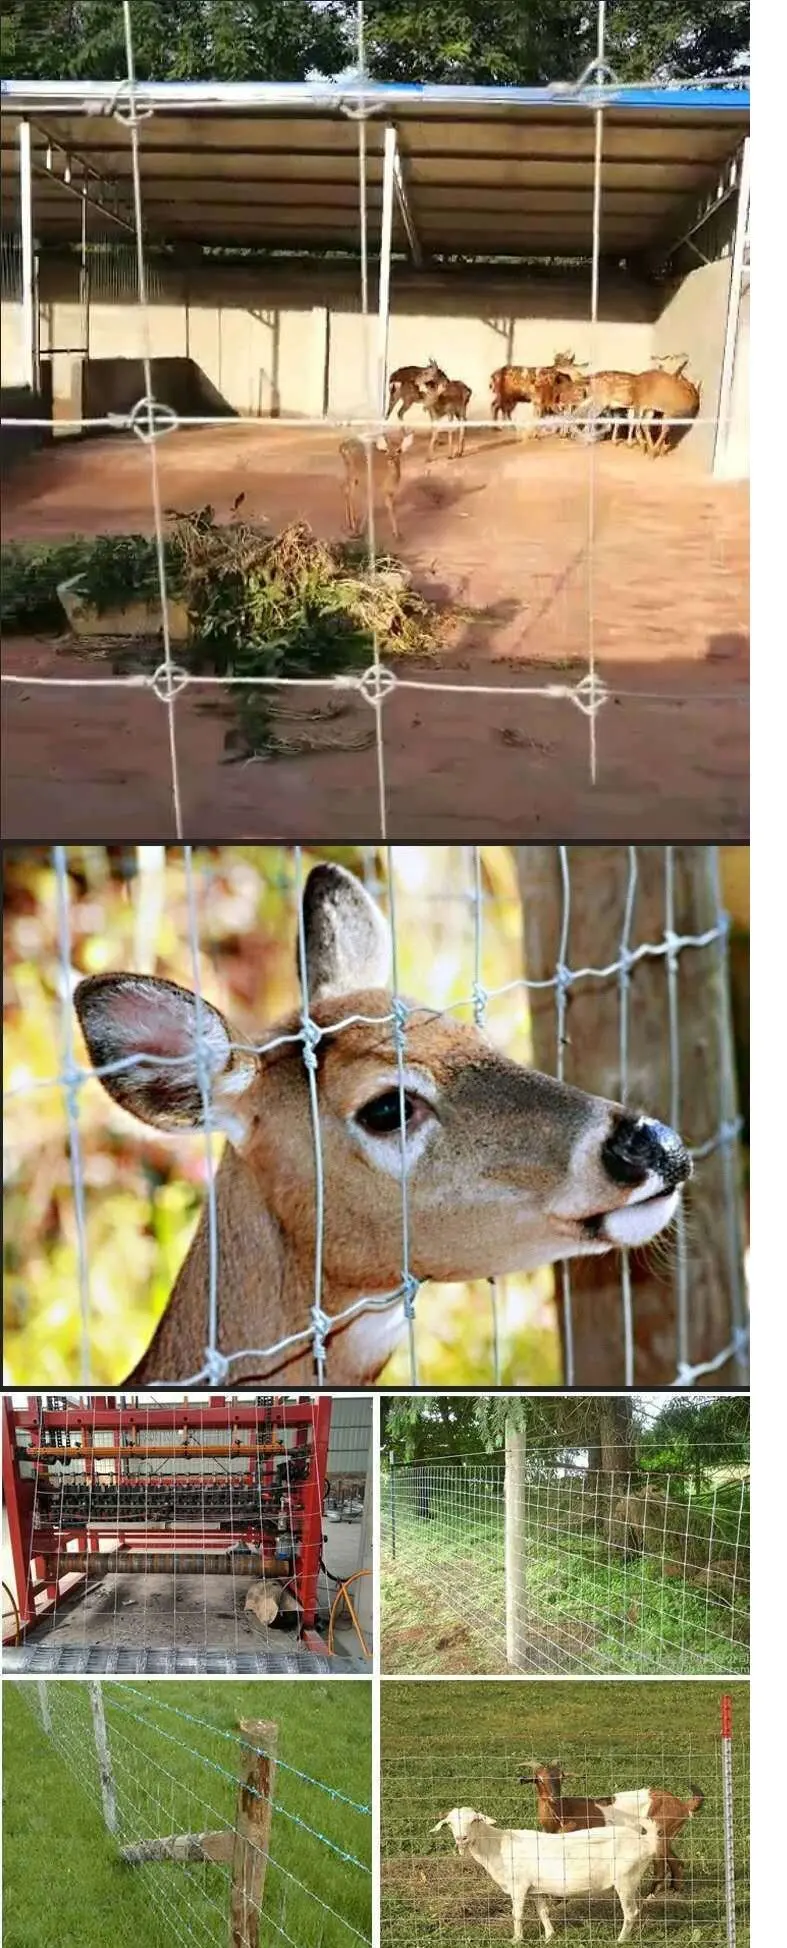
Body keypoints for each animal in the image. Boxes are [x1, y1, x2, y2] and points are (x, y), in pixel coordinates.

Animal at [431, 1806, 659, 1944]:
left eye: (475, 1821)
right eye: (450, 1823)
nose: (461, 1838)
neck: (498, 1846)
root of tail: (647, 1842)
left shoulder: (519, 1886)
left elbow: (517, 1914)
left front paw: (516, 1940)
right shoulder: (536, 1889)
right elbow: (543, 1912)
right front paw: (549, 1936)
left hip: (625, 1880)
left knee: (631, 1913)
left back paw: (620, 1940)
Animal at [518, 1761, 704, 1898]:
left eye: (561, 1778)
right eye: (539, 1779)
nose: (554, 1798)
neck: (563, 1812)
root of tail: (682, 1805)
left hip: (660, 1833)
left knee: (661, 1865)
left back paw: (650, 1895)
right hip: (667, 1835)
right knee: (675, 1861)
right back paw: (675, 1890)